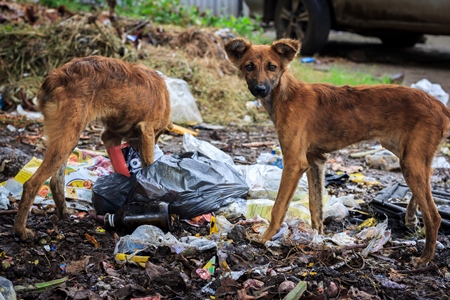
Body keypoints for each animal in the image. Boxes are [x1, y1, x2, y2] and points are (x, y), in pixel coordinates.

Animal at [14, 55, 172, 241]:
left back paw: (64, 212)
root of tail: (55, 77)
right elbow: (148, 166)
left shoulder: (110, 136)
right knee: (32, 184)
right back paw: (21, 231)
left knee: (55, 180)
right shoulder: (146, 130)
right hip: (68, 138)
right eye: (157, 134)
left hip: (67, 138)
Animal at [225, 37, 450, 264]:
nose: (260, 89)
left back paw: (425, 257)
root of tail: (441, 106)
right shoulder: (315, 161)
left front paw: (264, 238)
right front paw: (318, 238)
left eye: (272, 67)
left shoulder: (294, 162)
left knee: (434, 215)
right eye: (249, 66)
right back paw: (411, 217)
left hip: (410, 161)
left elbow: (278, 207)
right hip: (406, 154)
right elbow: (315, 207)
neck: (285, 95)